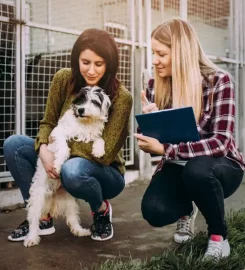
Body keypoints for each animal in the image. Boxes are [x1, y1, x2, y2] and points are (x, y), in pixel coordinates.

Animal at [23, 86, 111, 247]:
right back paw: (31, 238)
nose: (81, 110)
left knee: (72, 218)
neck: (85, 123)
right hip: (38, 199)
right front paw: (57, 165)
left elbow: (99, 139)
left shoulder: (92, 135)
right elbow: (64, 147)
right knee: (34, 220)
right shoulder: (57, 133)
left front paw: (98, 150)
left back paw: (80, 231)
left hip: (70, 201)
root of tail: (52, 196)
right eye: (81, 99)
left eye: (94, 101)